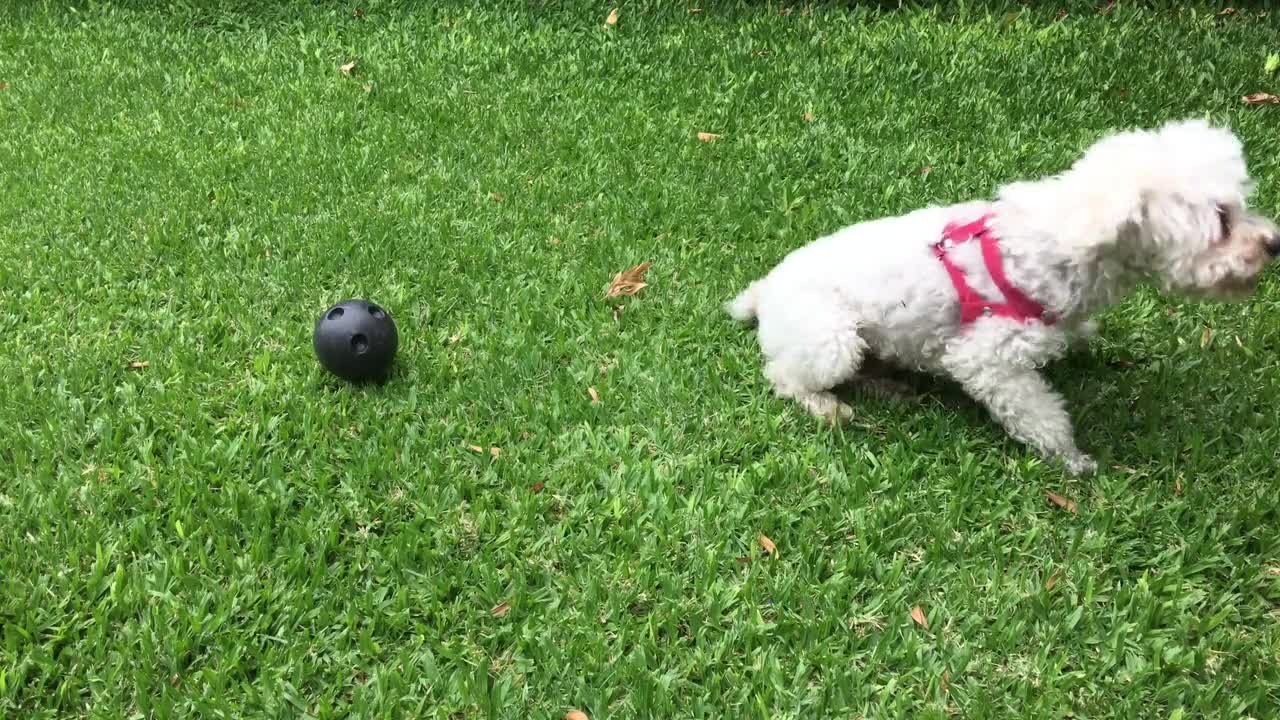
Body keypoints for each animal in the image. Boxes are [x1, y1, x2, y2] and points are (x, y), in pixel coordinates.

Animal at [732, 120, 1280, 474]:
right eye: (1222, 220)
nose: (1274, 243)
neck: (1063, 243)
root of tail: (764, 292)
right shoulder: (987, 360)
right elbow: (1042, 415)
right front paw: (1073, 460)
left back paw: (889, 386)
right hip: (832, 340)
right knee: (785, 377)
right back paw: (828, 407)